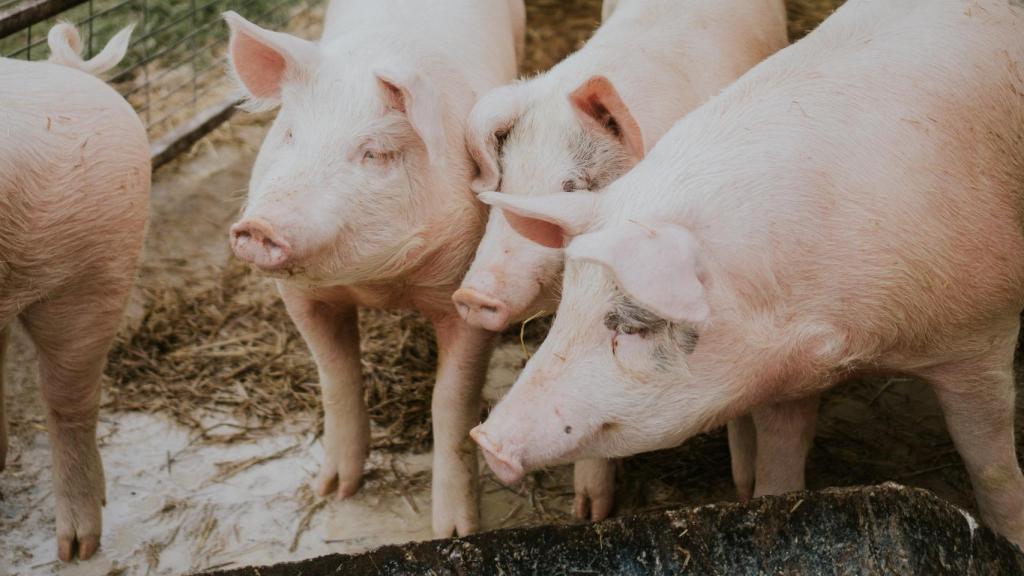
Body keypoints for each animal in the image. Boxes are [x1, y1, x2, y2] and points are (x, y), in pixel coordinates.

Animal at [227, 0, 524, 537]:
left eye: (374, 153)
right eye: (289, 134)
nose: (260, 226)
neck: (378, 285)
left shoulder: (468, 290)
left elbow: (452, 401)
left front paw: (454, 531)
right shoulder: (300, 298)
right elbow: (335, 376)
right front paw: (333, 491)